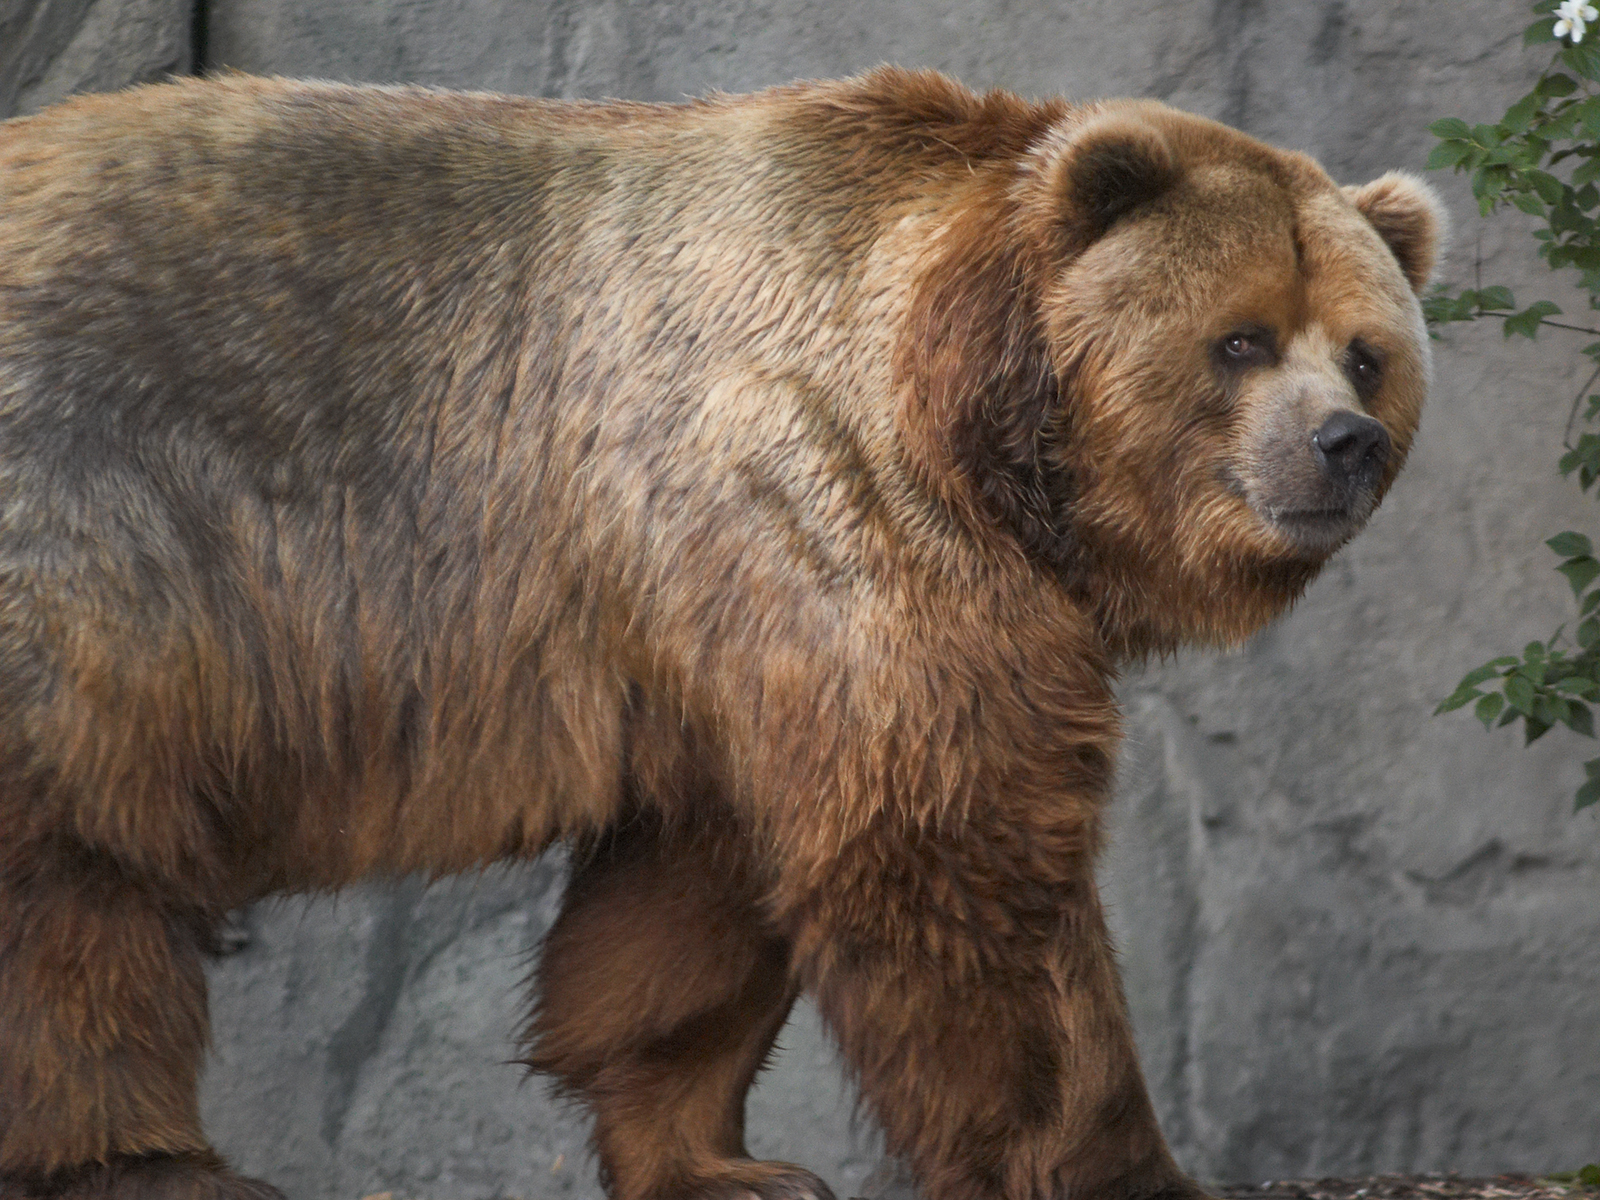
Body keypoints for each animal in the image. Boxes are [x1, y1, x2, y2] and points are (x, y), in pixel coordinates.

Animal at [0, 70, 1446, 1200]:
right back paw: (141, 1160)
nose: (1343, 444)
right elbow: (955, 843)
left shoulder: (715, 622)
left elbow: (697, 897)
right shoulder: (817, 486)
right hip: (92, 533)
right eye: (1240, 339)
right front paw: (1112, 1157)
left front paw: (723, 1160)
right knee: (71, 871)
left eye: (1366, 352)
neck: (972, 421)